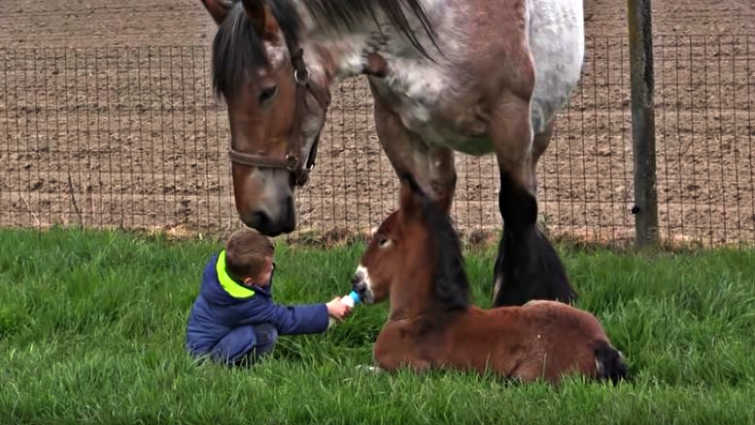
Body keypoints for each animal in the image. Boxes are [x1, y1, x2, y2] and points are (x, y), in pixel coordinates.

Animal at [198, 0, 583, 307]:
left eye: (267, 91)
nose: (256, 212)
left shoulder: (512, 123)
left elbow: (518, 210)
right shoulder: (395, 126)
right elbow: (420, 211)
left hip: (537, 131)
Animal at [349, 172, 628, 385]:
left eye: (383, 239)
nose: (356, 281)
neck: (421, 315)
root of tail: (598, 345)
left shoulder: (411, 369)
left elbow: (364, 370)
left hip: (526, 378)